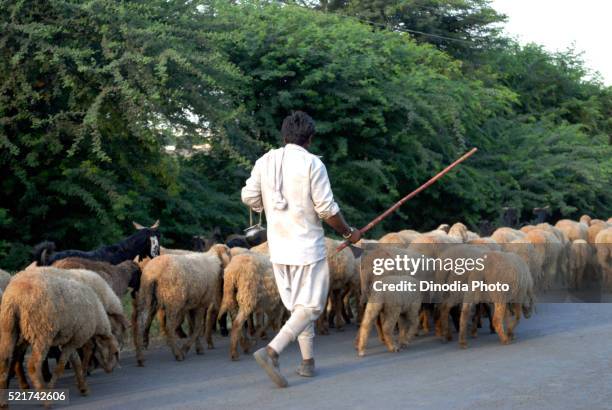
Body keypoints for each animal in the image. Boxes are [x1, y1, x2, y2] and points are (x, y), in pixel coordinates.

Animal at [0, 270, 119, 398]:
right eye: (114, 352)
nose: (110, 370)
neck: (98, 316)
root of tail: (15, 297)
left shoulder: (71, 340)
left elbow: (76, 362)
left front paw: (82, 387)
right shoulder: (76, 340)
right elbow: (61, 366)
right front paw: (50, 387)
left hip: (13, 331)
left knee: (9, 359)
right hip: (41, 334)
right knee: (31, 365)